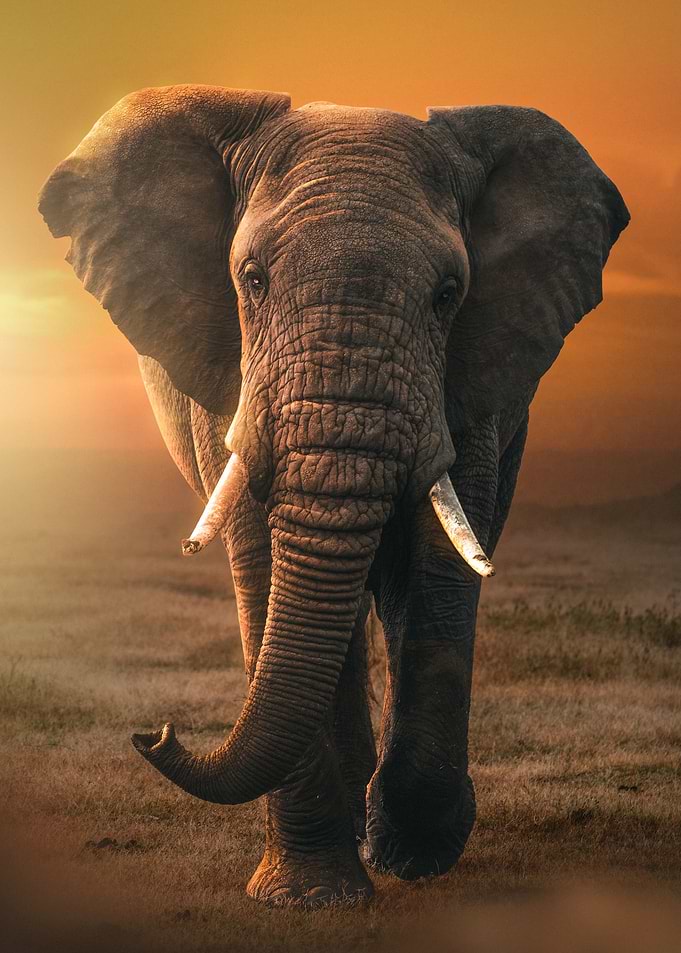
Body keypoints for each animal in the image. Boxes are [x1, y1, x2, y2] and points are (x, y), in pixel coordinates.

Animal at [39, 85, 628, 906]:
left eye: (449, 294)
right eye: (251, 279)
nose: (155, 732)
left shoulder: (472, 376)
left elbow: (439, 569)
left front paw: (410, 853)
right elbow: (264, 560)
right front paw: (310, 899)